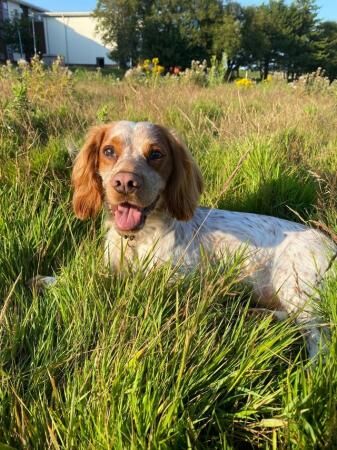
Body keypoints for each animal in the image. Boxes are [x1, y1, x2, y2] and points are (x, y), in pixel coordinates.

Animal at [69, 120, 334, 358]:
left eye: (156, 154)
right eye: (108, 151)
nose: (125, 183)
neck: (138, 239)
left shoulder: (179, 285)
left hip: (295, 285)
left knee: (320, 345)